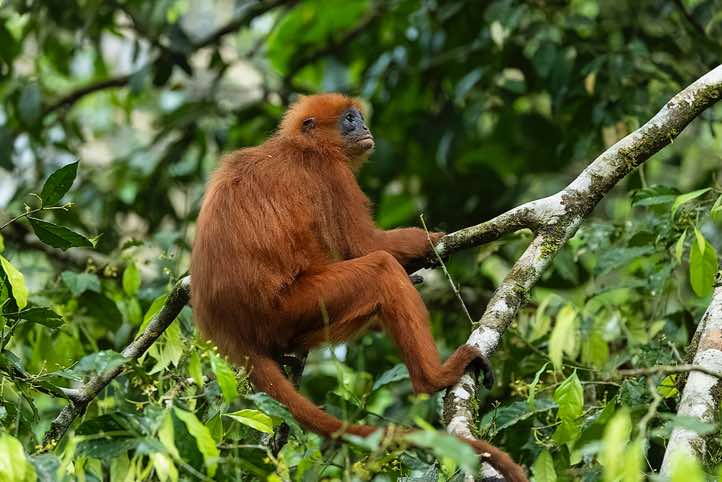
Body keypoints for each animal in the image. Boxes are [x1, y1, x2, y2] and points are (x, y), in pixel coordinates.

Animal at [190, 93, 527, 481]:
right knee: (381, 268)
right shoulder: (331, 173)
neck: (300, 147)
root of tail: (229, 328)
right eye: (349, 119)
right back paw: (433, 378)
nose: (364, 127)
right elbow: (364, 244)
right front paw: (431, 240)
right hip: (289, 308)